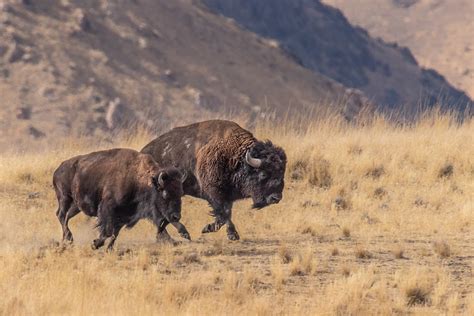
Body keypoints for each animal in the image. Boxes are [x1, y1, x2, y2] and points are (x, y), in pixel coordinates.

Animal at [52, 148, 190, 249]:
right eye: (165, 194)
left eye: (181, 193)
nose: (176, 216)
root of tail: (58, 170)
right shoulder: (108, 209)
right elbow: (108, 231)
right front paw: (95, 244)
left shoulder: (124, 215)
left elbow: (115, 233)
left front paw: (108, 248)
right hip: (65, 198)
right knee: (61, 215)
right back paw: (69, 238)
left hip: (76, 206)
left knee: (66, 217)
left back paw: (66, 239)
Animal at [141, 119, 286, 241]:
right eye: (263, 174)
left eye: (282, 173)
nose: (276, 198)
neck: (234, 156)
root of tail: (143, 151)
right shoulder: (214, 194)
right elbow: (223, 214)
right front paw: (208, 229)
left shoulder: (227, 196)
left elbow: (227, 213)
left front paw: (232, 235)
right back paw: (173, 236)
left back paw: (179, 234)